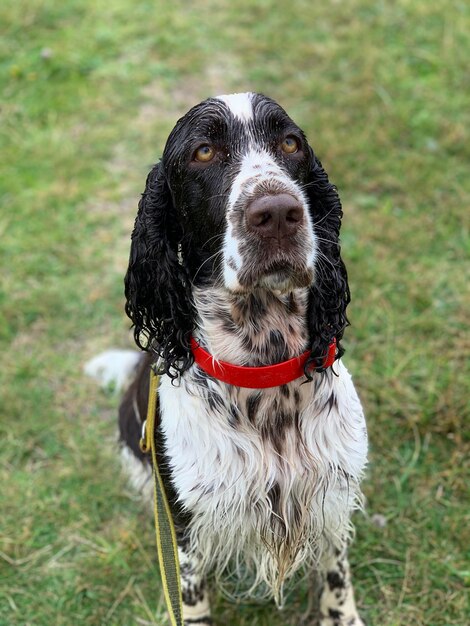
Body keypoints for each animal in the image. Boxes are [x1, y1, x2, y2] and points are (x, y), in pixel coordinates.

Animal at [117, 92, 368, 624]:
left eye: (290, 143)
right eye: (204, 152)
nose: (277, 212)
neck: (264, 369)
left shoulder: (331, 497)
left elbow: (336, 572)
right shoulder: (189, 520)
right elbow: (192, 592)